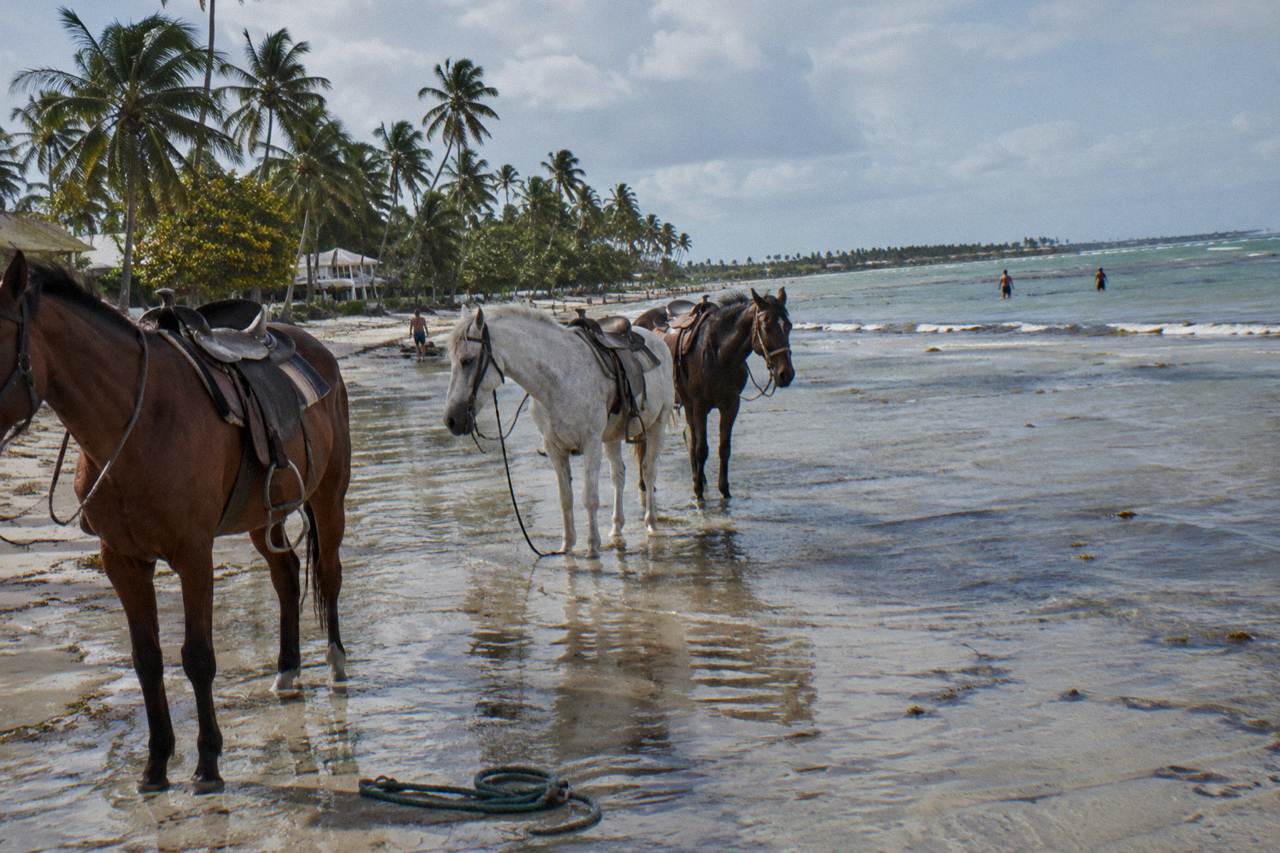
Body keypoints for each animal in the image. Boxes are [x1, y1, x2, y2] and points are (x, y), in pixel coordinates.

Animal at [0, 254, 351, 793]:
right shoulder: (121, 561)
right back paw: (288, 670)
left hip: (329, 497)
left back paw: (334, 662)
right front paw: (156, 765)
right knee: (287, 575)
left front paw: (207, 764)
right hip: (262, 514)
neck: (137, 421)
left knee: (329, 574)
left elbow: (198, 657)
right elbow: (146, 660)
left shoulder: (193, 554)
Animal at [443, 304, 675, 557]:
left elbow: (589, 497)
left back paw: (650, 522)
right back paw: (616, 529)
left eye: (467, 360)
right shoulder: (554, 449)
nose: (451, 420)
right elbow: (566, 498)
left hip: (658, 424)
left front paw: (592, 547)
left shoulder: (591, 443)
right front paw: (567, 545)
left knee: (649, 471)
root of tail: (656, 339)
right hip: (612, 437)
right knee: (618, 476)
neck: (558, 379)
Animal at [636, 288, 794, 503]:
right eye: (767, 326)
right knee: (644, 441)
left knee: (688, 437)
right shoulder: (699, 407)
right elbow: (702, 449)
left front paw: (723, 489)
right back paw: (645, 483)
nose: (786, 374)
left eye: (789, 326)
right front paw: (698, 492)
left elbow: (723, 448)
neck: (718, 354)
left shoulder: (730, 405)